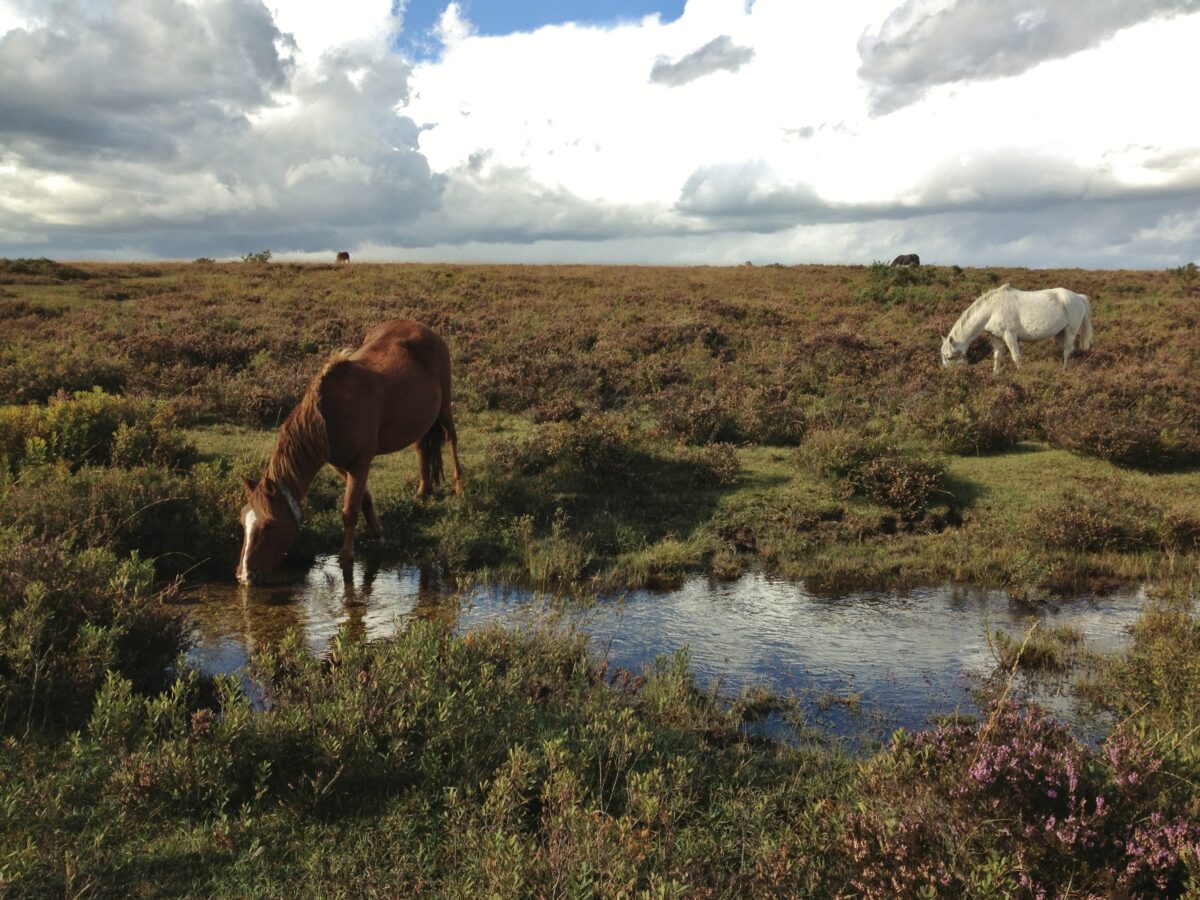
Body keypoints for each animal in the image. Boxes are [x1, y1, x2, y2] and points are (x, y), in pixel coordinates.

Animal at [236, 319, 463, 585]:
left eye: (270, 524)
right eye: (243, 521)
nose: (244, 575)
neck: (328, 415)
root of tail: (426, 330)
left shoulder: (360, 463)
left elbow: (349, 510)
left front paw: (346, 556)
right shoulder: (339, 464)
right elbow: (363, 498)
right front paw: (378, 533)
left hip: (445, 407)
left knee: (452, 441)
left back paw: (459, 487)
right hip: (419, 421)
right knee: (421, 449)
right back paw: (422, 491)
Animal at [940, 284, 1093, 373]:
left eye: (949, 357)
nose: (948, 374)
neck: (992, 309)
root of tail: (1079, 297)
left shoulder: (1010, 335)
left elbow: (1016, 357)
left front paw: (1021, 374)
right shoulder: (996, 337)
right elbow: (997, 356)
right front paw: (995, 374)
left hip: (1071, 331)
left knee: (1067, 352)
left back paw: (1063, 371)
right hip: (1060, 334)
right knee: (1071, 349)